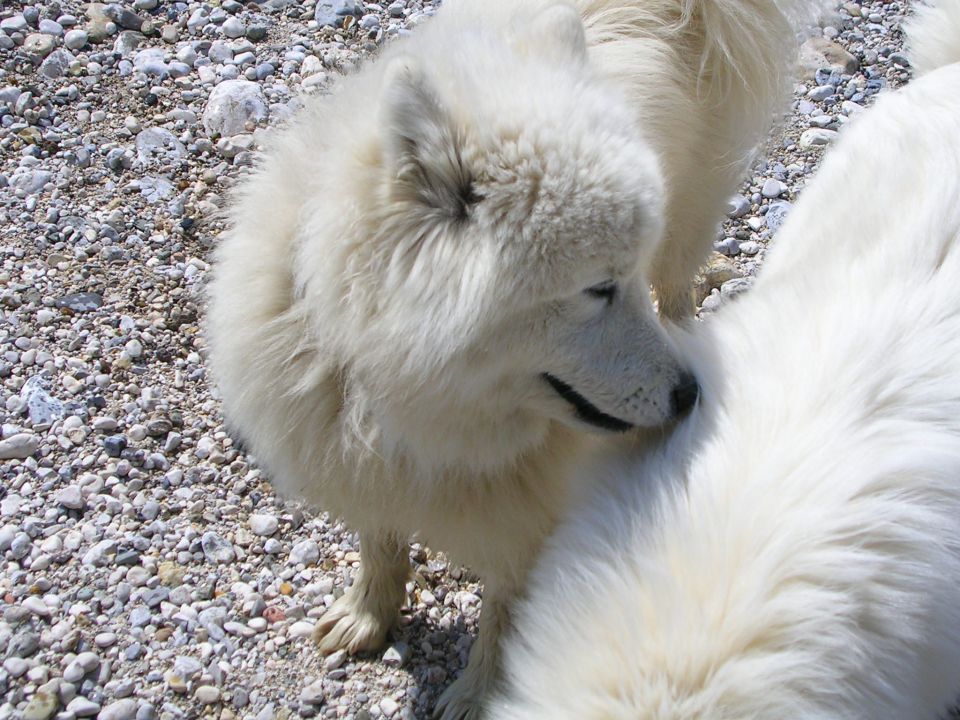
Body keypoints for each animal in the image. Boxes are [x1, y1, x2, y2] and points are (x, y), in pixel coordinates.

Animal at [208, 2, 824, 716]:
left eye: (625, 280)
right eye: (598, 289)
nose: (688, 394)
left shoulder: (533, 520)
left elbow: (506, 612)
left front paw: (482, 693)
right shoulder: (366, 458)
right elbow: (381, 539)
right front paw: (368, 613)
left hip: (690, 220)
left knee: (680, 288)